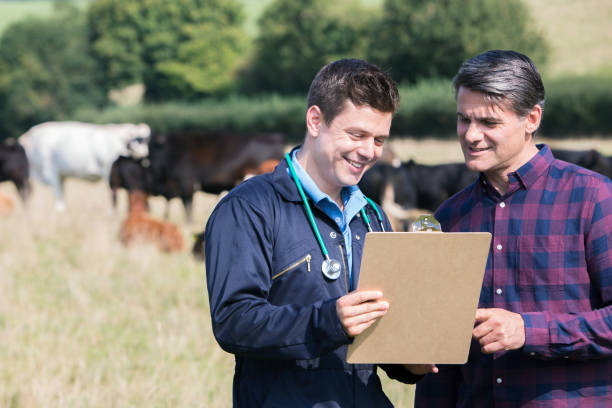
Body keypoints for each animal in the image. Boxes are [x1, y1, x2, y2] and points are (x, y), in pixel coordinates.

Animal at [19, 120, 150, 210]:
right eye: (136, 139)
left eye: (145, 140)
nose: (143, 151)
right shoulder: (59, 176)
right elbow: (61, 197)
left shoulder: (51, 173)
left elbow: (59, 199)